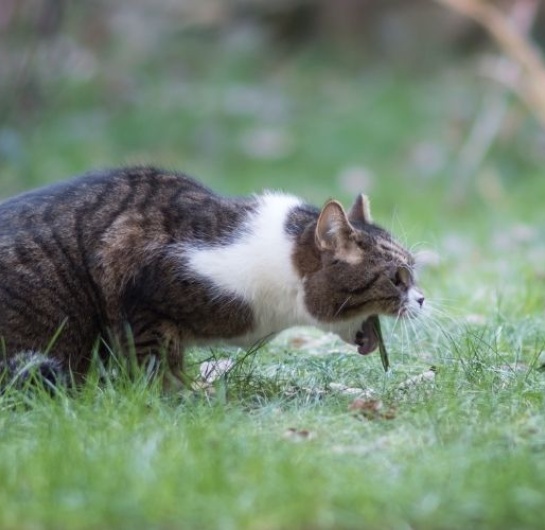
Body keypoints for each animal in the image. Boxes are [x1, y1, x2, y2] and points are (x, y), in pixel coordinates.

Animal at [0, 165, 422, 388]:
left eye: (413, 271)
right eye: (397, 278)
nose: (421, 298)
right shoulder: (138, 285)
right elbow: (154, 360)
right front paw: (173, 397)